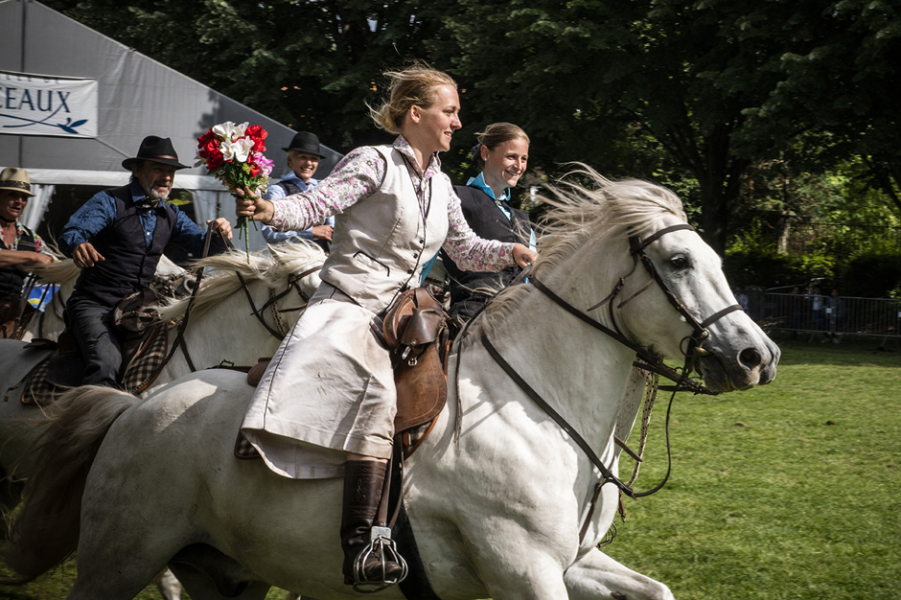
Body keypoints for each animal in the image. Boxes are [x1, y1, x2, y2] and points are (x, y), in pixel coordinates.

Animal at [5, 171, 780, 600]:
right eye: (678, 261)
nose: (757, 356)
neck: (534, 411)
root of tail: (135, 409)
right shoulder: (523, 570)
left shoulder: (573, 565)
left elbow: (657, 590)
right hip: (118, 560)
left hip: (228, 573)